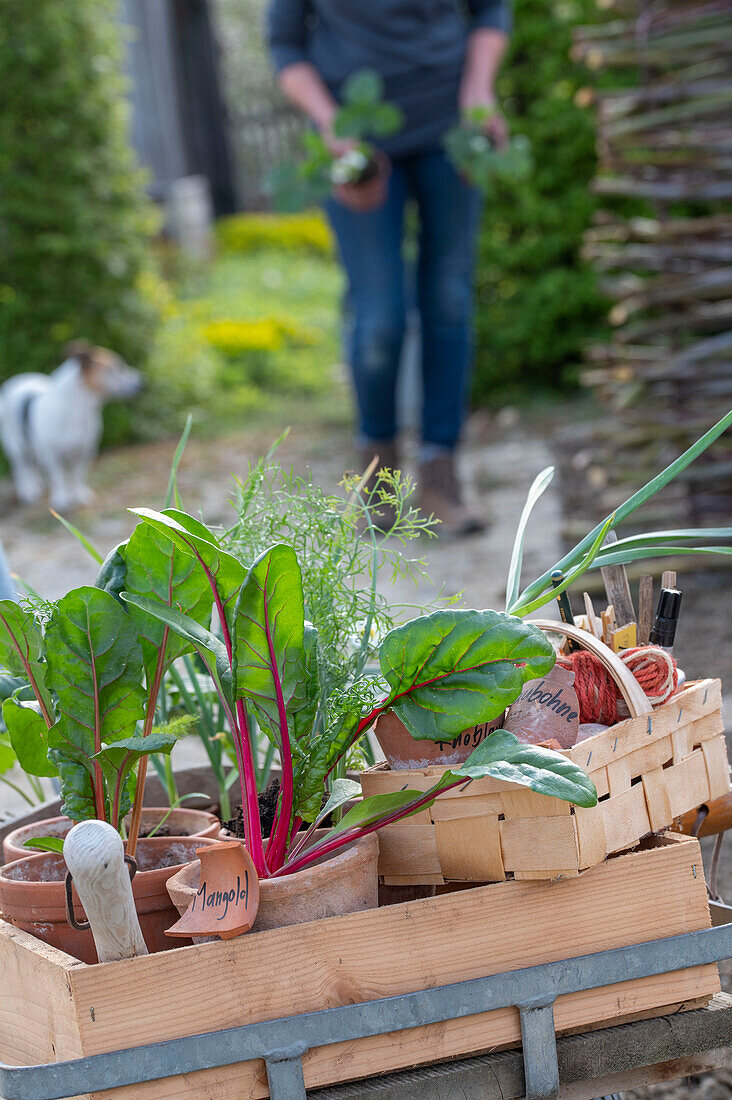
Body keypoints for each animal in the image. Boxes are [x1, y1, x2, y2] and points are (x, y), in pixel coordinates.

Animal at [0, 341, 141, 512]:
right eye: (117, 366)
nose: (142, 383)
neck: (77, 410)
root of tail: (18, 379)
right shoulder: (52, 455)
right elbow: (58, 477)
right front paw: (61, 499)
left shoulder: (86, 451)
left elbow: (78, 475)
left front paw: (79, 495)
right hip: (15, 445)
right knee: (22, 468)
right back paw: (28, 490)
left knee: (33, 465)